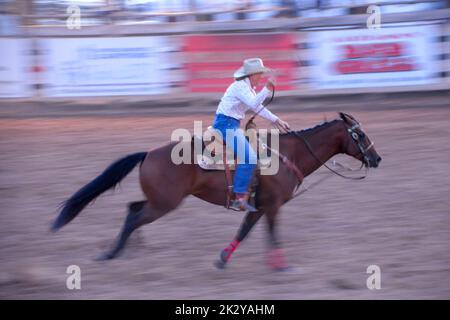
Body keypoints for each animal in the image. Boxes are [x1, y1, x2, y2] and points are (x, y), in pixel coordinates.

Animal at [50, 112, 380, 270]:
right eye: (360, 134)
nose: (377, 159)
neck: (287, 155)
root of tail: (148, 154)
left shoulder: (259, 206)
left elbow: (243, 232)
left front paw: (222, 259)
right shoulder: (273, 205)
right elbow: (274, 234)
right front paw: (282, 266)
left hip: (157, 201)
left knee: (132, 208)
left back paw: (127, 248)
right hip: (164, 203)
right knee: (133, 216)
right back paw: (112, 253)